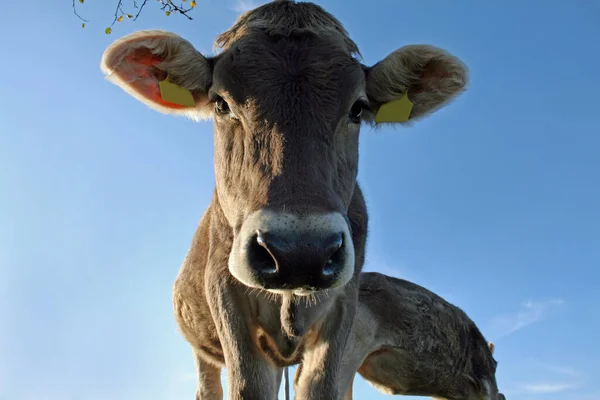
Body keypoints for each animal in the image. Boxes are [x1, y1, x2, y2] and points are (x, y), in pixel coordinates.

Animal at [101, 0, 468, 400]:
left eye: (357, 108)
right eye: (220, 103)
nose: (300, 252)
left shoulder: (344, 304)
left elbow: (321, 386)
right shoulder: (226, 293)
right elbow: (248, 386)